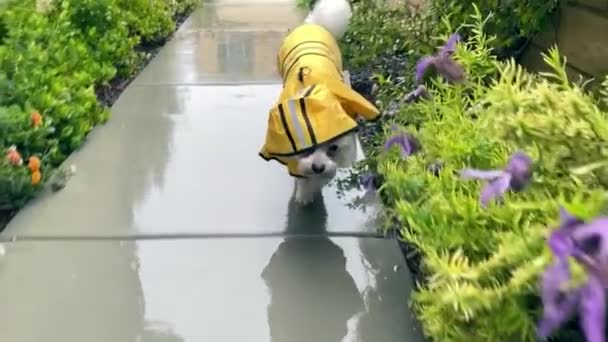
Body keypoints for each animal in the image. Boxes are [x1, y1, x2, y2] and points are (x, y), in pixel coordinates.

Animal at [256, 0, 380, 206]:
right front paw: (304, 194)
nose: (318, 167)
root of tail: (316, 24)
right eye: (307, 147)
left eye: (334, 148)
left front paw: (312, 189)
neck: (314, 93)